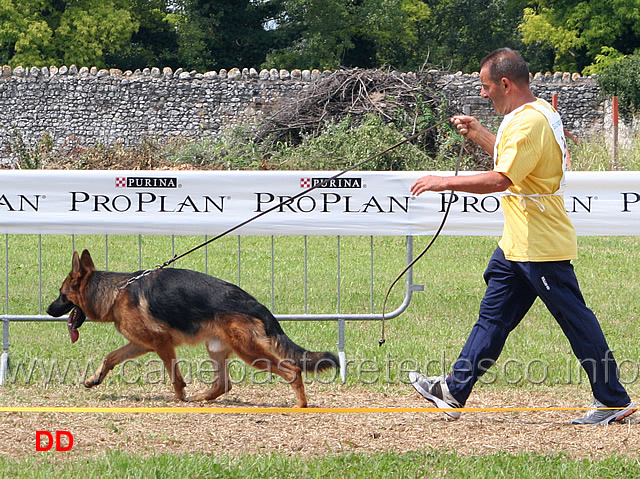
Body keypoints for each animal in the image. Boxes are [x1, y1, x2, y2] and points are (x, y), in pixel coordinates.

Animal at [47, 249, 338, 406]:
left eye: (61, 295)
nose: (48, 310)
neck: (115, 292)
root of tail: (257, 305)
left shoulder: (161, 343)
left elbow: (175, 375)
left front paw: (179, 398)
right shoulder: (141, 343)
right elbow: (110, 357)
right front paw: (94, 378)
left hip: (250, 352)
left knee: (292, 370)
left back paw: (301, 404)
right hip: (217, 349)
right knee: (224, 384)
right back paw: (203, 398)